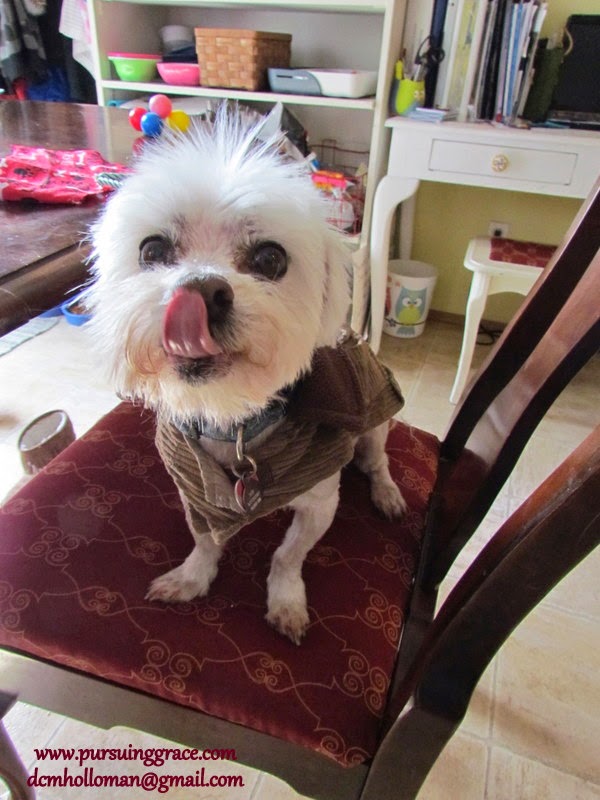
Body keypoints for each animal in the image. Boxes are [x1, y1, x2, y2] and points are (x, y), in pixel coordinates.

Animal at [89, 108, 406, 644]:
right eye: (152, 250)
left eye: (270, 259)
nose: (201, 291)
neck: (233, 419)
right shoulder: (192, 489)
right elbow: (205, 541)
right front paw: (193, 577)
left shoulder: (320, 502)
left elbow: (287, 556)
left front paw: (286, 601)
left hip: (375, 414)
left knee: (376, 458)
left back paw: (387, 492)